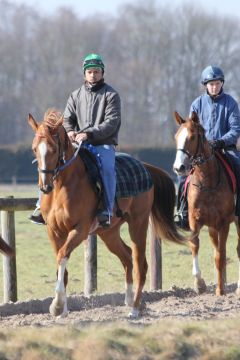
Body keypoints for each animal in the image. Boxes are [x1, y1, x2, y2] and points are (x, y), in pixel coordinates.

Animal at [28, 109, 186, 318]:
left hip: (138, 224)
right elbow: (62, 264)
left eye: (53, 149)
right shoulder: (54, 231)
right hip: (109, 233)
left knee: (140, 264)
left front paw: (56, 306)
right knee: (127, 257)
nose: (45, 187)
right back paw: (129, 300)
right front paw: (62, 309)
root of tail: (145, 167)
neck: (64, 186)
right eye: (34, 149)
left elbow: (62, 256)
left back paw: (135, 308)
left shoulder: (80, 230)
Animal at [172, 111, 240, 296]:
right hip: (211, 228)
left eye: (193, 137)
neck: (206, 181)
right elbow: (195, 246)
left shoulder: (224, 223)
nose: (179, 168)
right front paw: (200, 283)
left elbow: (220, 256)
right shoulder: (195, 221)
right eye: (176, 137)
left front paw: (220, 290)